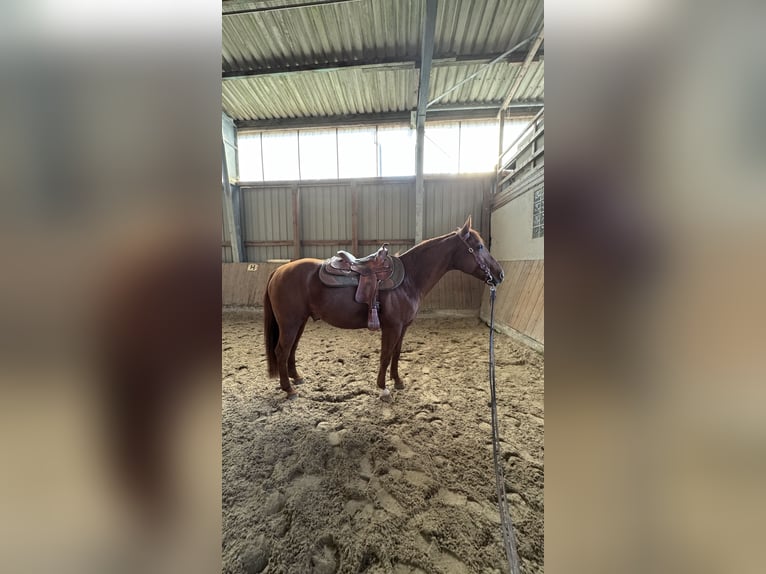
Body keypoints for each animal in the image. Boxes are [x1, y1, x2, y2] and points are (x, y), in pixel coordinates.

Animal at [264, 216, 505, 400]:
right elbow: (386, 355)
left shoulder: (403, 327)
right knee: (282, 351)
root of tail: (279, 270)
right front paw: (383, 388)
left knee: (291, 350)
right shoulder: (392, 327)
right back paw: (289, 389)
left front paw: (397, 381)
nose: (500, 274)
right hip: (290, 323)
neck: (409, 279)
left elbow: (396, 354)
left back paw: (296, 378)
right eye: (479, 246)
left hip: (299, 322)